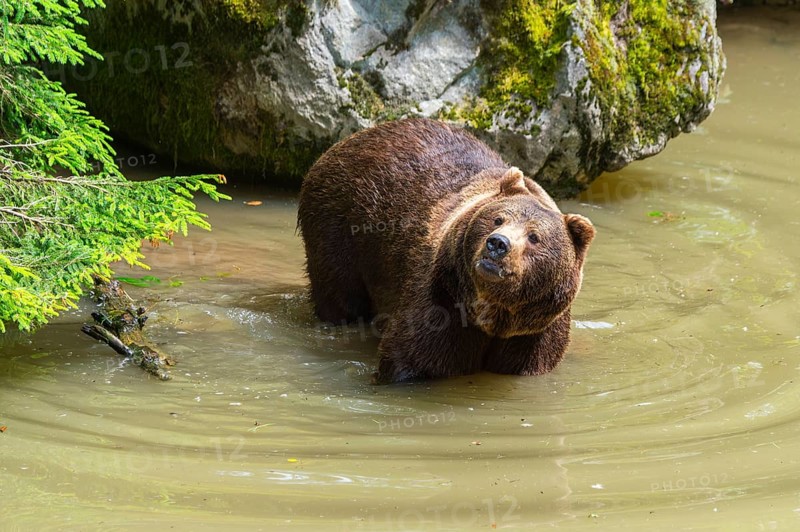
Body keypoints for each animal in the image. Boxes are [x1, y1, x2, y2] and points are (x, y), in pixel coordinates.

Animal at [297, 118, 595, 384]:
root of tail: (351, 139)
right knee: (340, 295)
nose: (498, 243)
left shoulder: (536, 332)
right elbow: (413, 357)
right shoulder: (441, 299)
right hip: (337, 224)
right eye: (497, 219)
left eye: (534, 237)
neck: (492, 315)